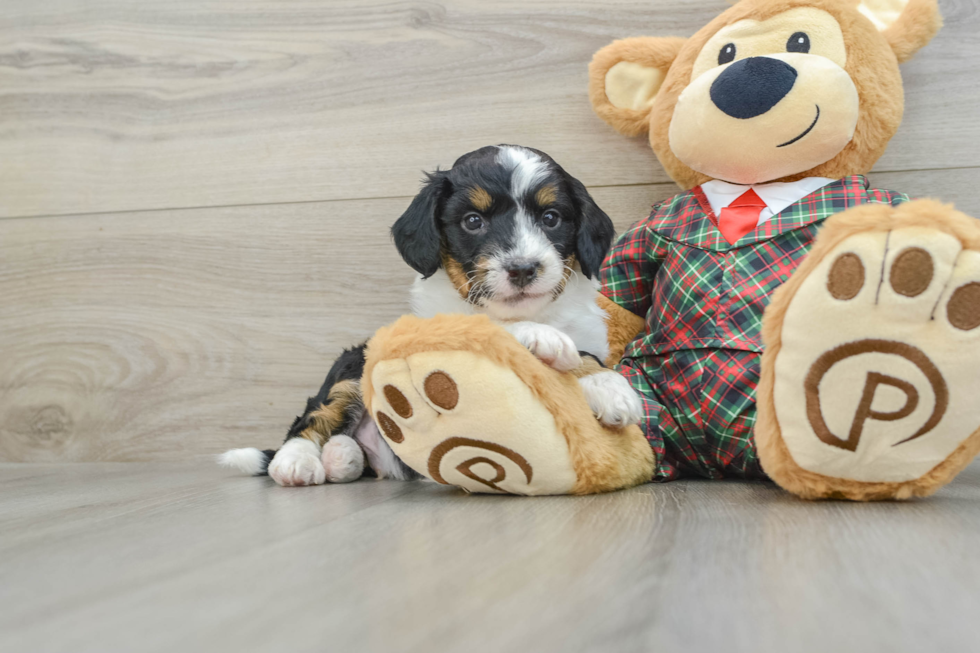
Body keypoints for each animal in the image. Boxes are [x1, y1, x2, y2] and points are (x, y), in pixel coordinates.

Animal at [221, 145, 644, 486]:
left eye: (551, 218)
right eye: (473, 221)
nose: (523, 268)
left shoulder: (588, 333)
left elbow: (589, 359)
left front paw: (610, 389)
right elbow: (490, 328)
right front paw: (542, 338)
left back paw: (343, 457)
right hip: (354, 364)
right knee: (311, 418)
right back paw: (297, 462)